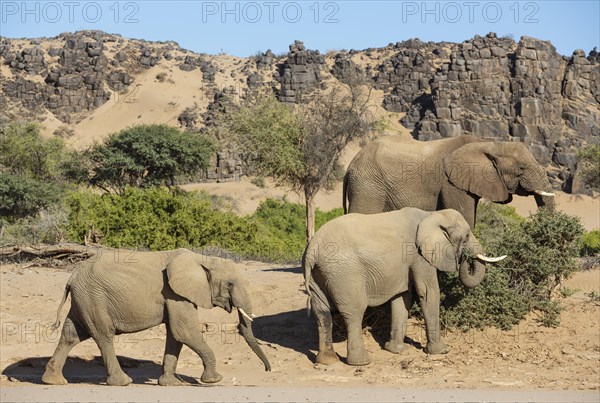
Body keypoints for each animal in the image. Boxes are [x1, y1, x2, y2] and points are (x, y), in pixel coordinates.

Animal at [39, 249, 270, 388]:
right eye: (230, 284)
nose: (267, 370)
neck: (201, 258)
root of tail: (71, 277)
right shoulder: (175, 293)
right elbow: (184, 331)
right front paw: (214, 380)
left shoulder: (176, 296)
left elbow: (175, 336)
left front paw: (171, 384)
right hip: (94, 298)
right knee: (103, 336)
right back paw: (123, 382)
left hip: (85, 300)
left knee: (71, 335)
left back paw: (54, 381)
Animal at [302, 208, 504, 366]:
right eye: (467, 235)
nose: (464, 258)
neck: (431, 215)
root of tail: (313, 248)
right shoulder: (418, 254)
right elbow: (428, 293)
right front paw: (441, 351)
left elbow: (402, 298)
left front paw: (396, 350)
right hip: (345, 273)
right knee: (354, 311)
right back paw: (361, 362)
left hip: (319, 273)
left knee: (322, 313)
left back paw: (327, 361)